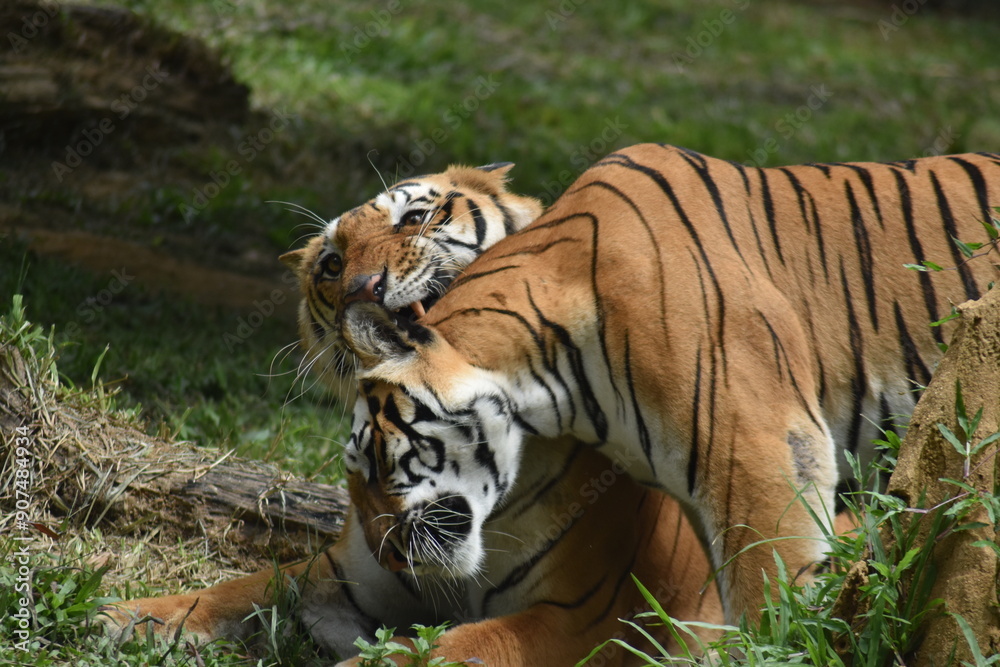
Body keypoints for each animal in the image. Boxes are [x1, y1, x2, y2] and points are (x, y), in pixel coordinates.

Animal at [103, 162, 724, 666]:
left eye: (416, 218)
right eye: (331, 265)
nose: (363, 287)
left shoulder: (584, 615)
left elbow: (446, 648)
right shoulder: (354, 572)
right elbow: (241, 589)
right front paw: (123, 616)